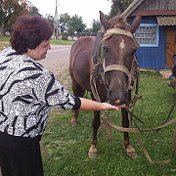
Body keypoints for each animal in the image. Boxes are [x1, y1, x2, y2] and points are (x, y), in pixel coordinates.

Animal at [69, 11, 142, 160]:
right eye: (105, 49)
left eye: (133, 51)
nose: (117, 95)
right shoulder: (95, 96)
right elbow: (96, 122)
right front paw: (93, 147)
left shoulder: (126, 95)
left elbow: (125, 121)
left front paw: (128, 146)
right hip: (75, 82)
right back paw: (74, 119)